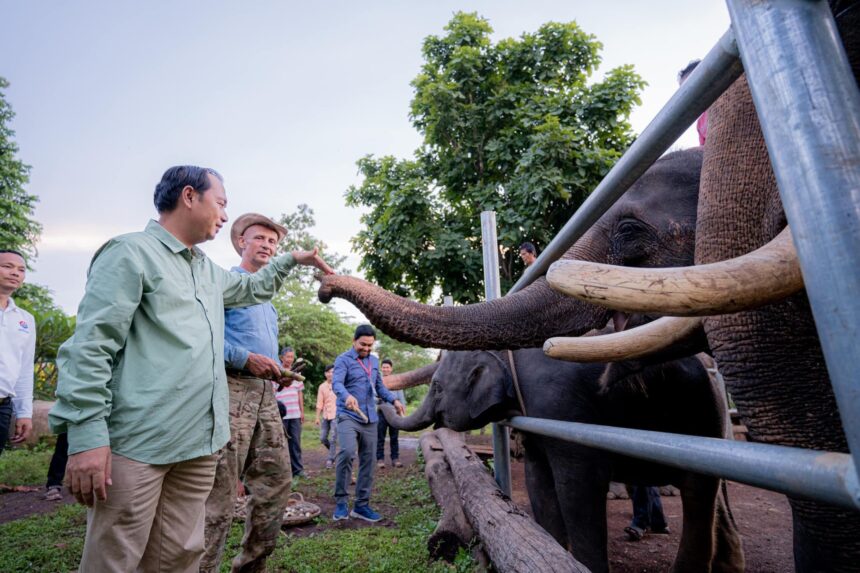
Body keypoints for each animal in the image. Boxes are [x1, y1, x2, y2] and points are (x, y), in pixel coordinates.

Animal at [382, 348, 740, 572]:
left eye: (437, 388)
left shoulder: (563, 406)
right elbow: (538, 479)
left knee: (698, 490)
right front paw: (550, 546)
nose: (387, 403)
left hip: (700, 415)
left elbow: (577, 486)